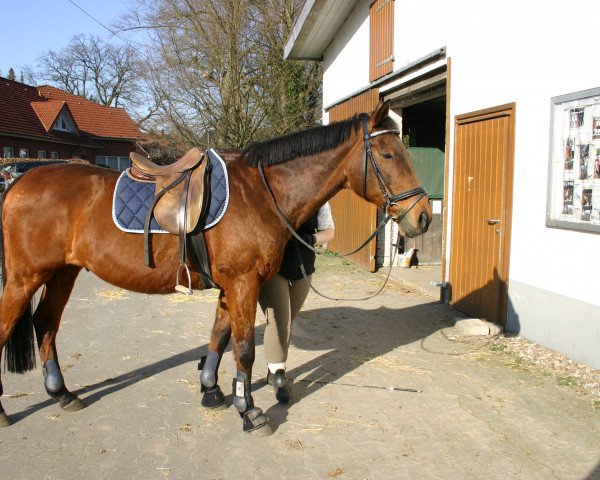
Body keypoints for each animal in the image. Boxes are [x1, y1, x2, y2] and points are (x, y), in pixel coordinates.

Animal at [0, 101, 432, 436]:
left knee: (46, 324)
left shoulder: (233, 286)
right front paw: (250, 411)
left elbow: (219, 339)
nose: (423, 217)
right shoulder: (243, 283)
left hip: (62, 273)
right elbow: (243, 350)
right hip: (25, 279)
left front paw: (213, 392)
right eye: (388, 155)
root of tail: (20, 181)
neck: (260, 193)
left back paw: (63, 394)